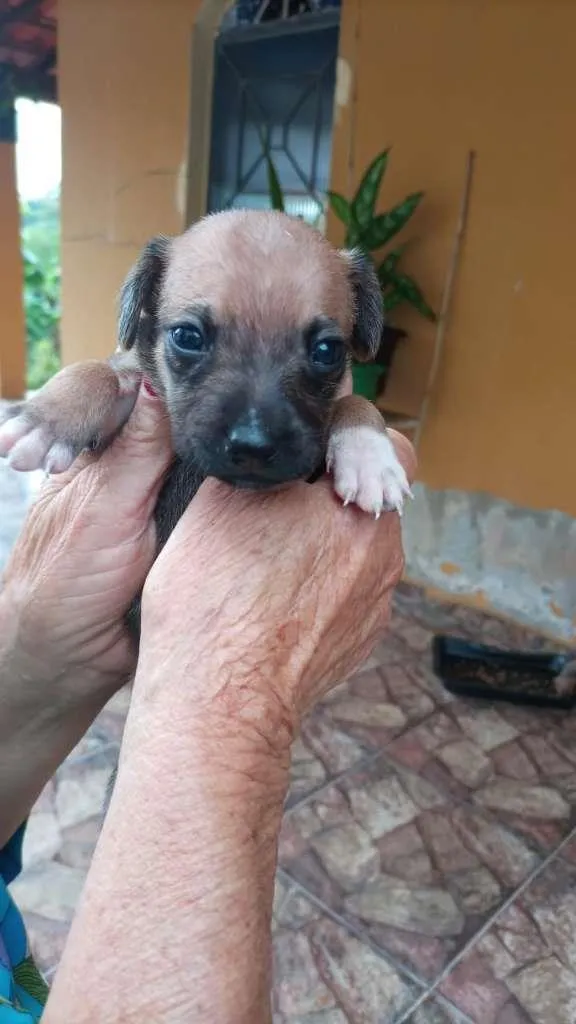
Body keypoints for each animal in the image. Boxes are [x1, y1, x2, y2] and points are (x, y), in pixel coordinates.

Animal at [0, 211, 407, 606]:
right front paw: (45, 416)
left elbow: (356, 400)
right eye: (187, 336)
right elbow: (97, 371)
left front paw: (369, 456)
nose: (253, 447)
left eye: (327, 351)